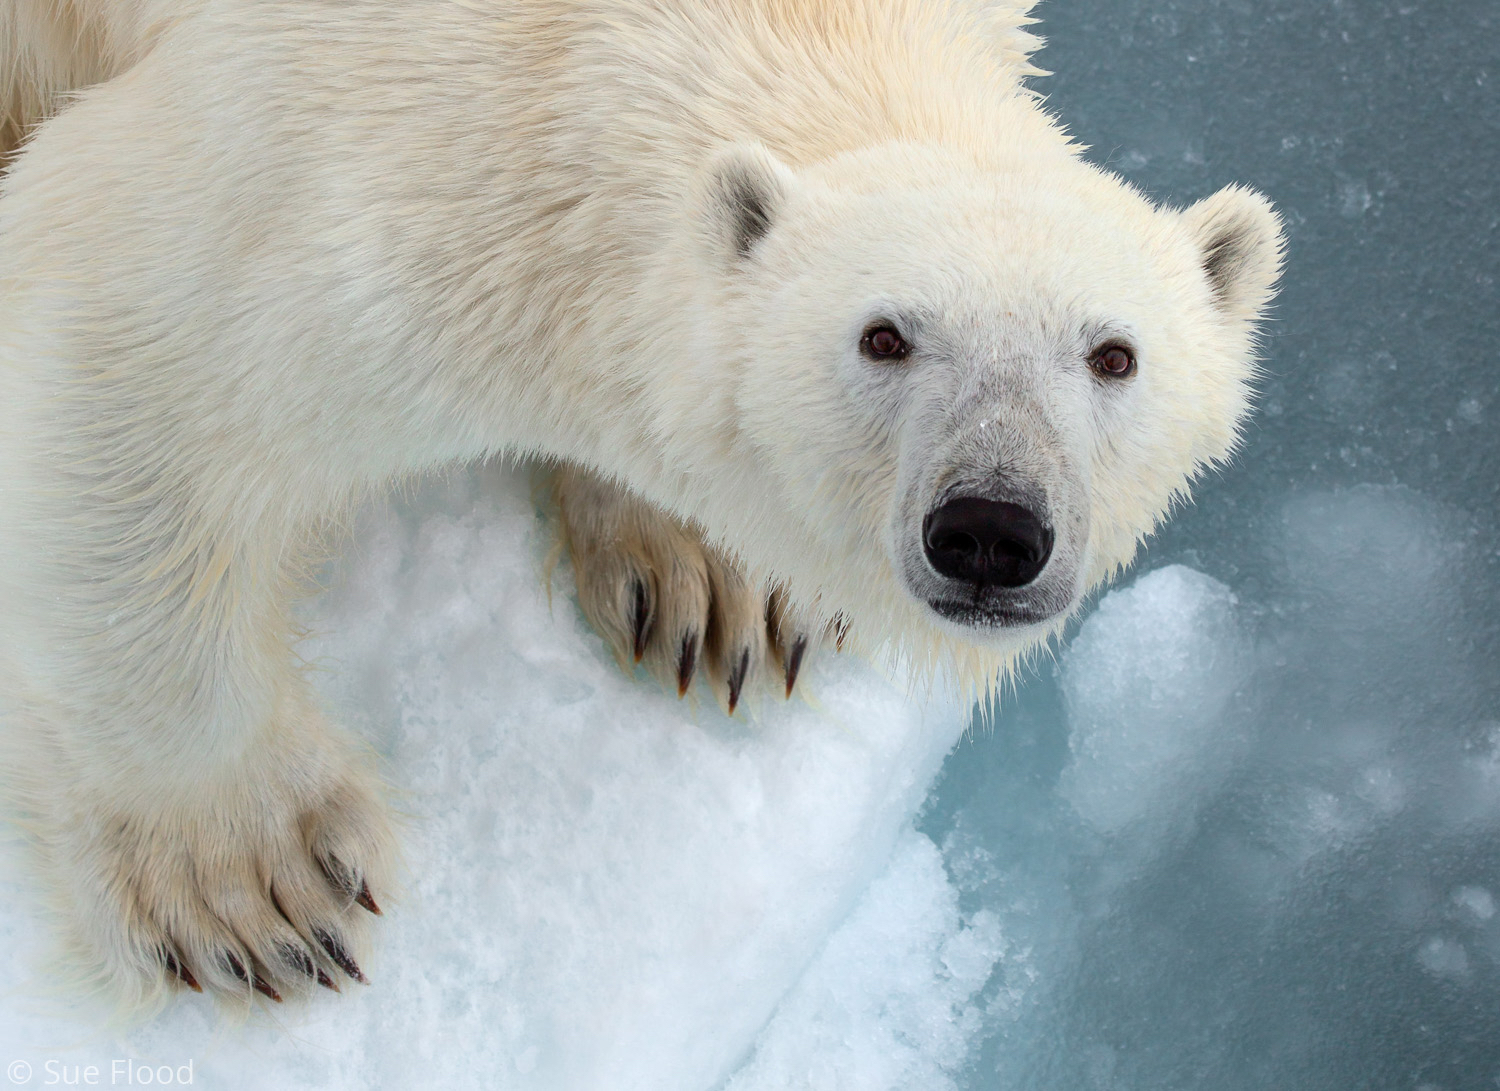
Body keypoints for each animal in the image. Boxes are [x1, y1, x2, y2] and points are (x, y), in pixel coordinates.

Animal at [2, 0, 1278, 1008]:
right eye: (884, 335)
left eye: (1112, 354)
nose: (991, 530)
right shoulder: (328, 171)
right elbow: (122, 361)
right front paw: (247, 884)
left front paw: (719, 584)